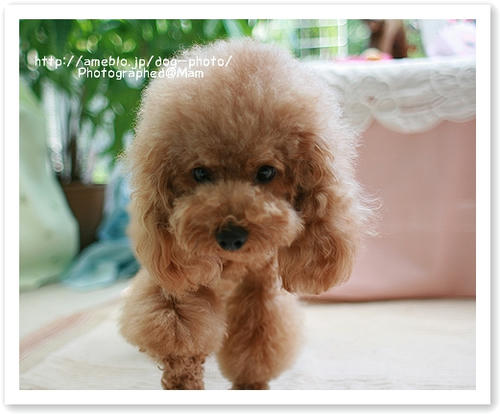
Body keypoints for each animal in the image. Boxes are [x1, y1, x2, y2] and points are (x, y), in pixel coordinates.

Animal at [119, 39, 367, 390]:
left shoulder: (260, 287)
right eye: (200, 173)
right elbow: (177, 333)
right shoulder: (177, 279)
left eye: (266, 172)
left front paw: (250, 384)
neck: (231, 265)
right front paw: (183, 380)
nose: (231, 236)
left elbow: (256, 340)